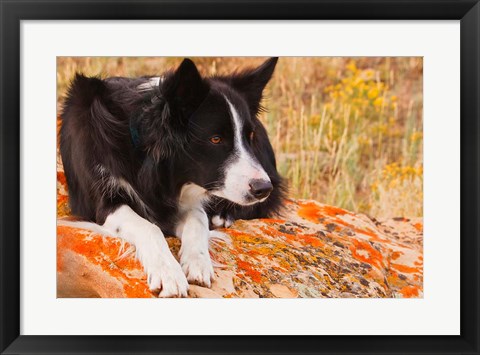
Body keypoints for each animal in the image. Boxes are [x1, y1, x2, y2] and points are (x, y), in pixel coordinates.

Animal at [59, 58, 284, 298]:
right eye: (215, 139)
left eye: (249, 136)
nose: (263, 188)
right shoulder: (103, 201)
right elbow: (148, 227)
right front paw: (168, 273)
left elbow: (198, 218)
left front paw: (198, 263)